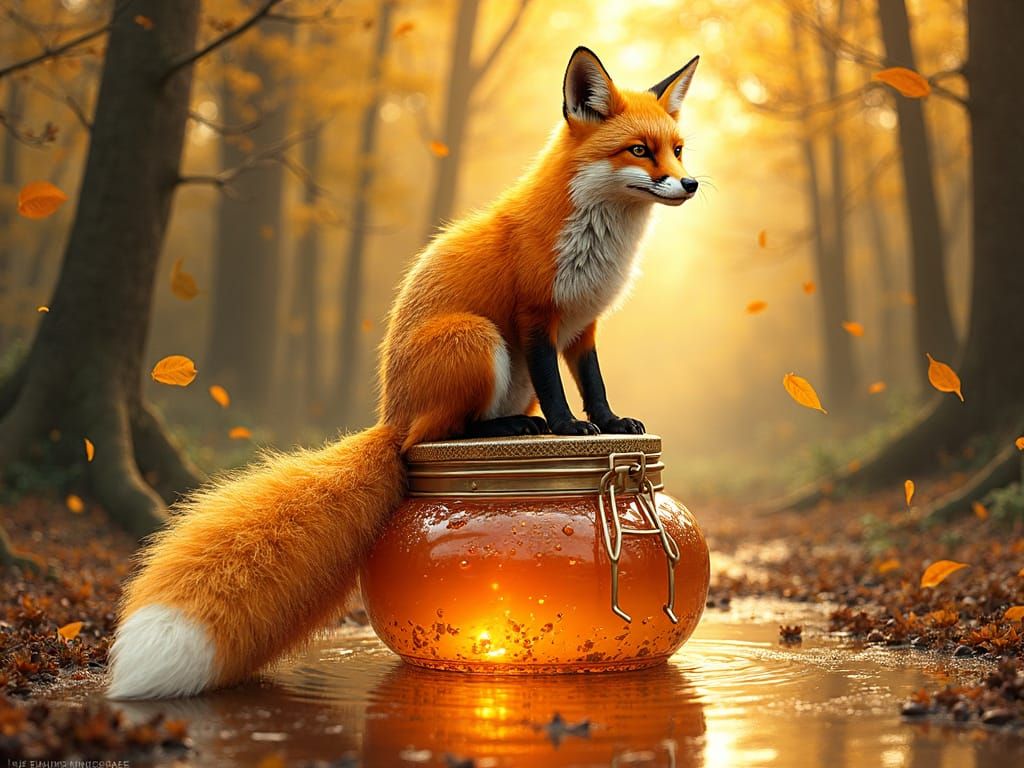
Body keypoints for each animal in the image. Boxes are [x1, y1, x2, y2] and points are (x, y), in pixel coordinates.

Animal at [107, 46, 701, 699]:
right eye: (639, 150)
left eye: (678, 149)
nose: (690, 183)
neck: (598, 240)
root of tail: (389, 415)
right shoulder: (534, 319)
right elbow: (559, 389)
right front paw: (570, 430)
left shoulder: (582, 326)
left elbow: (594, 386)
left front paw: (609, 421)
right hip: (478, 339)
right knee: (439, 433)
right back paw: (511, 431)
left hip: (502, 369)